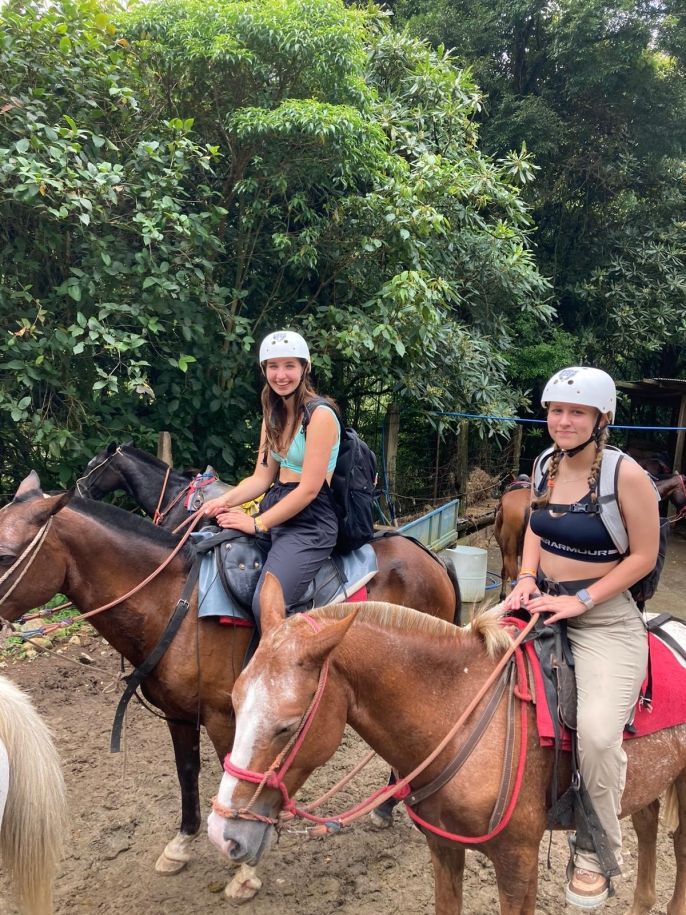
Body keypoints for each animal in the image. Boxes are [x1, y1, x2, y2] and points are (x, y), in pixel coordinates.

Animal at [210, 580, 686, 915]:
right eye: (233, 703)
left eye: (288, 726)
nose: (222, 835)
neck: (460, 711)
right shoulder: (443, 847)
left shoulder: (518, 862)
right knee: (647, 824)